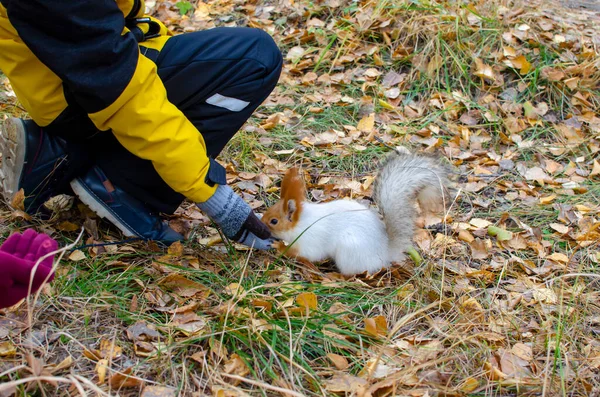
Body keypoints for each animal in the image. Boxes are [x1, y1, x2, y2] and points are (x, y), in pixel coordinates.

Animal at [260, 147, 452, 274]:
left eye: (274, 221)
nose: (261, 225)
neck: (301, 222)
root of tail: (383, 253)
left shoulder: (309, 241)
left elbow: (302, 253)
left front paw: (279, 246)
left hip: (348, 252)